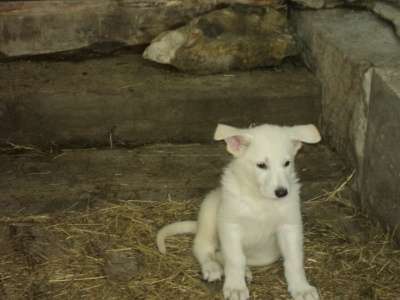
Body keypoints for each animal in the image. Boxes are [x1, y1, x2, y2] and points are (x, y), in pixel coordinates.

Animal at [156, 123, 322, 298]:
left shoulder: (290, 226)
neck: (260, 198)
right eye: (261, 165)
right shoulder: (230, 225)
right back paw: (212, 267)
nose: (282, 193)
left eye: (287, 163)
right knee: (203, 248)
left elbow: (294, 260)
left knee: (222, 254)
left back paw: (245, 271)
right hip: (209, 215)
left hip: (265, 254)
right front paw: (236, 287)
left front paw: (301, 288)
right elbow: (235, 259)